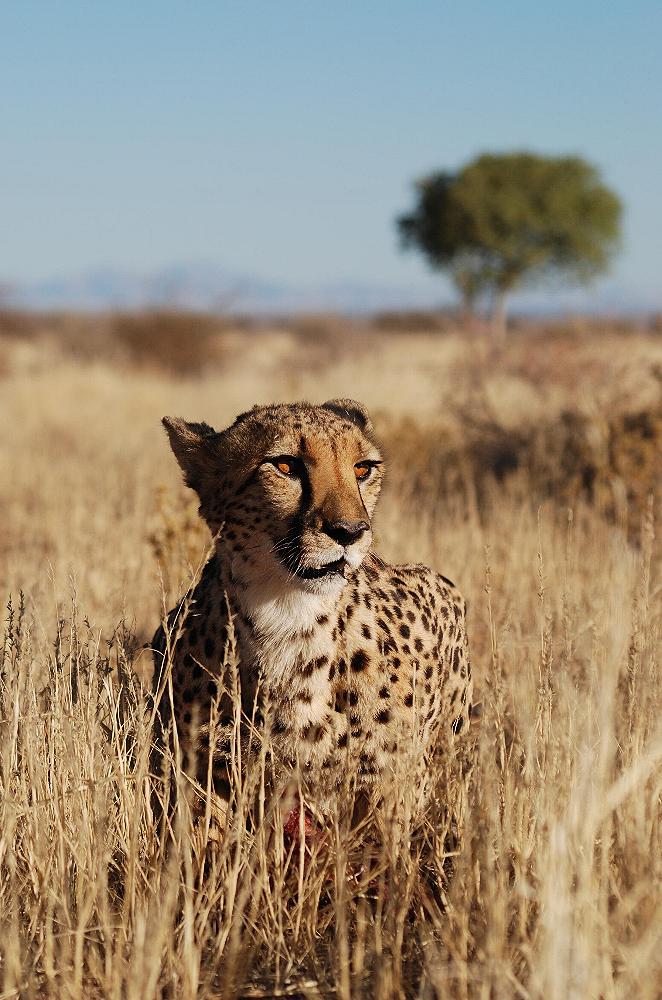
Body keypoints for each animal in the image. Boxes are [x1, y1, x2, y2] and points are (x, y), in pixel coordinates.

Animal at [150, 398, 472, 828]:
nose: (350, 530)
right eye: (286, 465)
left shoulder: (390, 788)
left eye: (362, 468)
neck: (288, 616)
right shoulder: (202, 775)